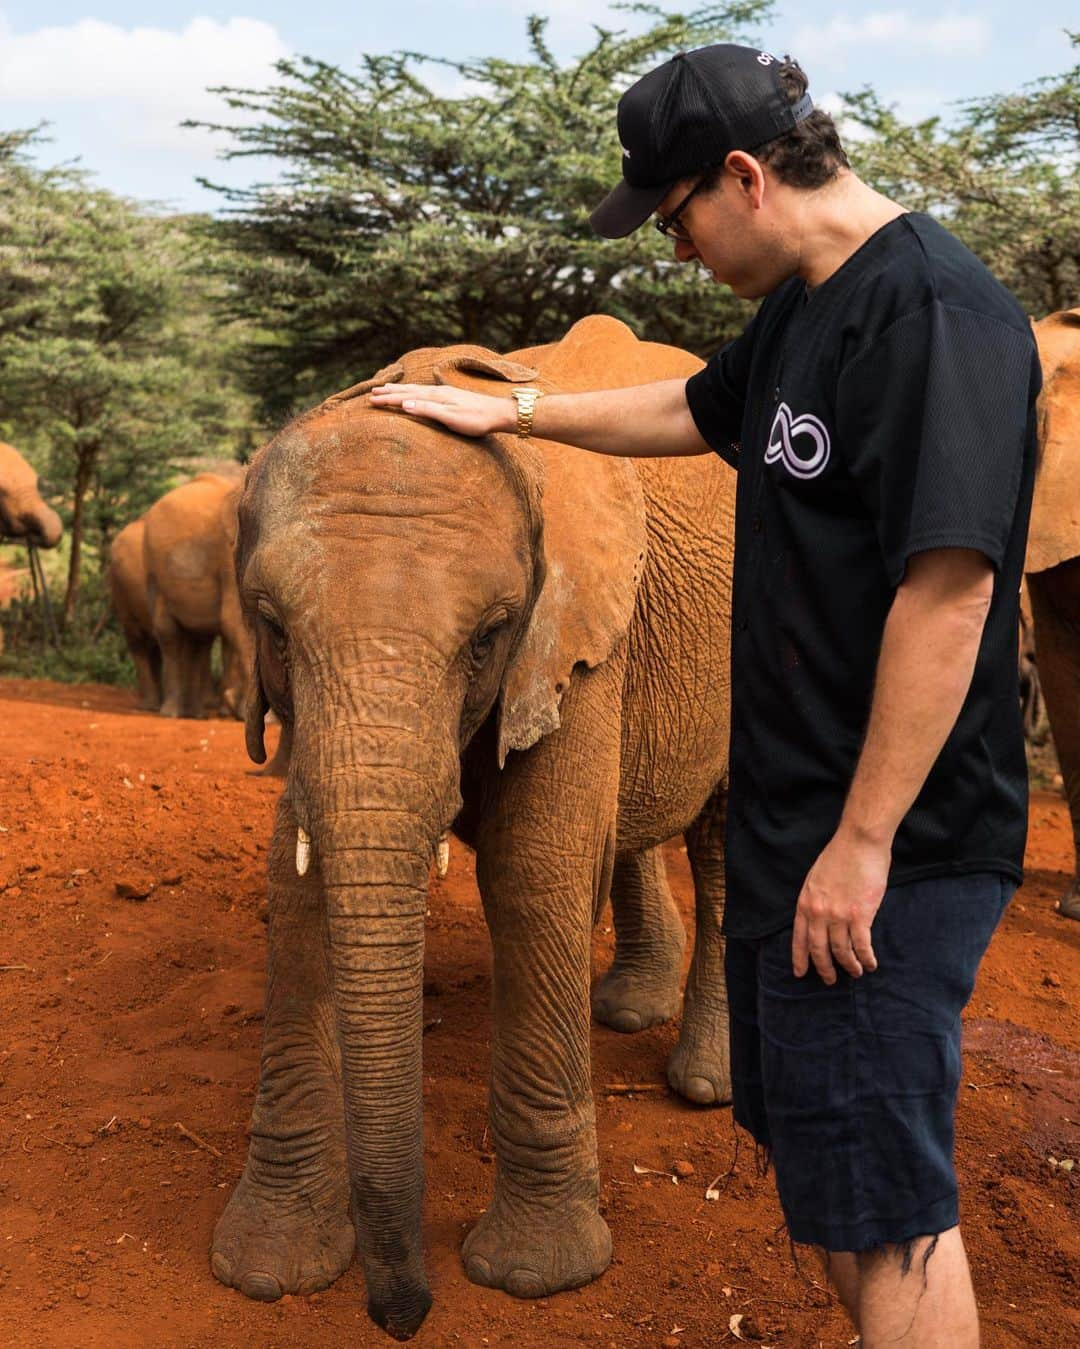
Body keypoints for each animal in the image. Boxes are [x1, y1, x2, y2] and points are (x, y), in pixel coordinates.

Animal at [140, 474, 253, 728]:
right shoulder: (230, 556)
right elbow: (236, 622)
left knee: (198, 642)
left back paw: (197, 714)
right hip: (154, 572)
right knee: (170, 636)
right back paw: (171, 713)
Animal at [210, 315, 733, 1338]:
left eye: (489, 636)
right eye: (272, 627)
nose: (404, 1314)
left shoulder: (574, 634)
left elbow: (537, 871)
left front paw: (535, 1276)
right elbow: (297, 876)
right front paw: (269, 1274)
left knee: (729, 842)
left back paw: (705, 1085)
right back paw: (627, 1009)